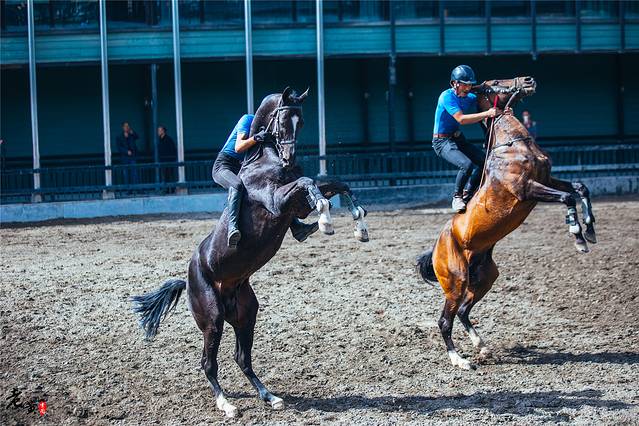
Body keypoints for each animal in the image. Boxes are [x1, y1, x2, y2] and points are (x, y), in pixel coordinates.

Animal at [131, 87, 369, 417]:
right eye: (283, 120)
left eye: (302, 121)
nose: (289, 158)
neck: (266, 158)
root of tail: (186, 279)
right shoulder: (278, 201)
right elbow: (311, 185)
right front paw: (325, 220)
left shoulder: (296, 205)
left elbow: (334, 184)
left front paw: (359, 224)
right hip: (213, 319)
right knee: (208, 363)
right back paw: (226, 405)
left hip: (246, 314)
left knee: (241, 358)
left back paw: (270, 396)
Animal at [417, 76, 597, 370]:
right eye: (494, 82)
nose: (528, 80)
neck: (512, 145)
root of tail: (436, 249)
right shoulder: (528, 189)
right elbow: (568, 197)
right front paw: (578, 236)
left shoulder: (547, 179)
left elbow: (580, 188)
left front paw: (590, 230)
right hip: (456, 282)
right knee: (445, 321)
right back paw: (460, 361)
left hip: (485, 276)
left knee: (464, 311)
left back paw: (482, 347)